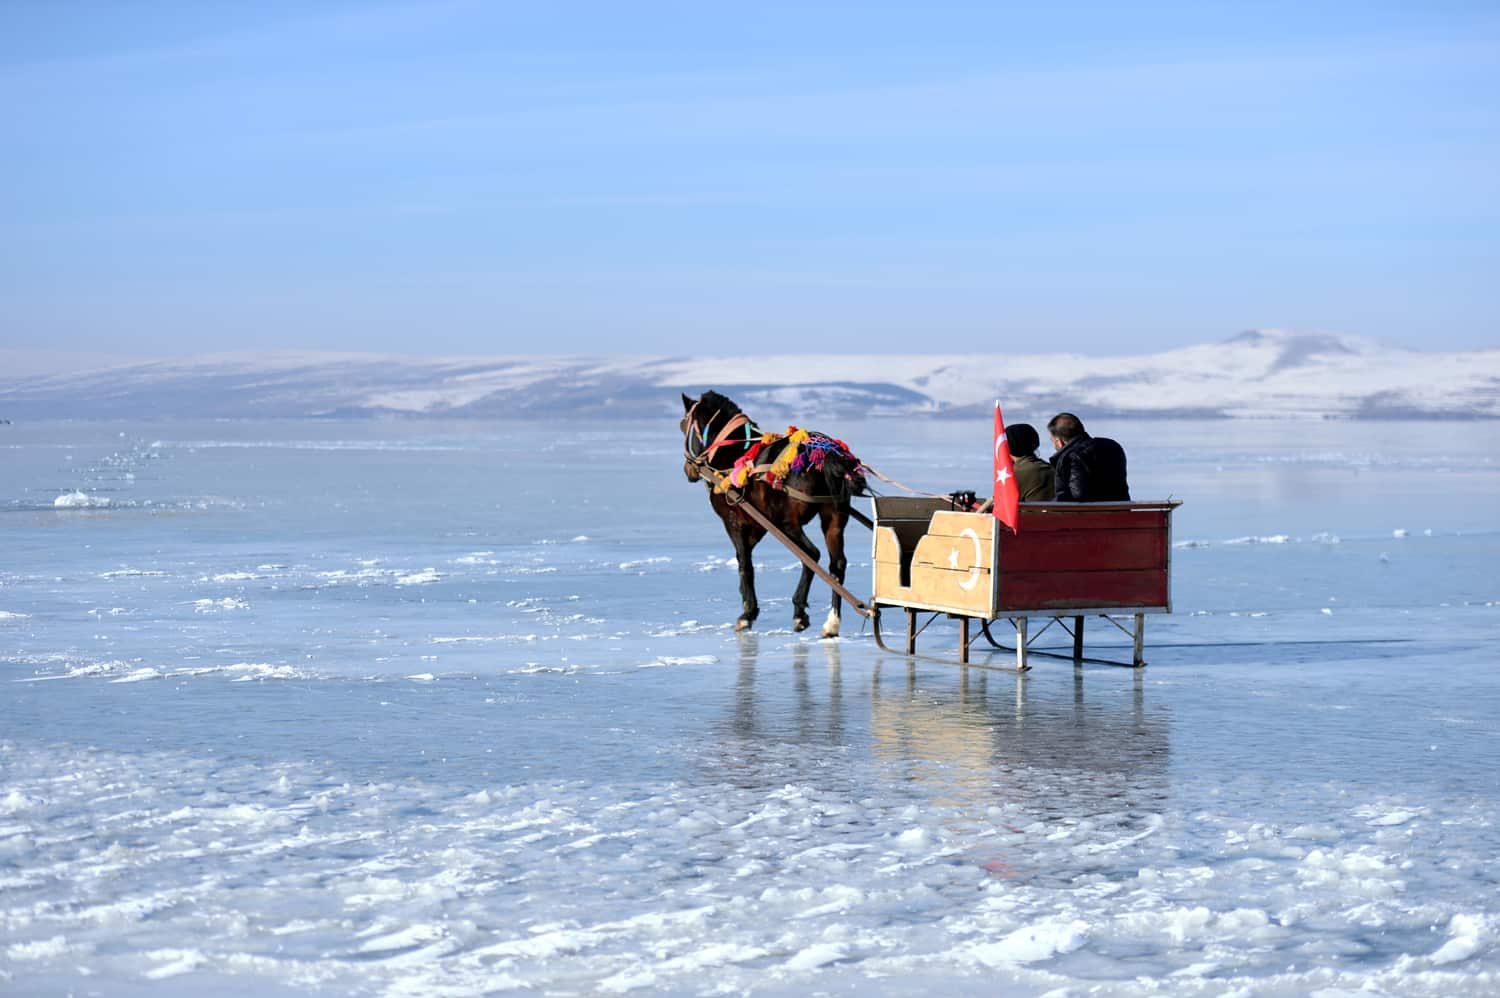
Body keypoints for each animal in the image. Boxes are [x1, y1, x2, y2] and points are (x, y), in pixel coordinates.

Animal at [684, 390, 870, 639]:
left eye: (684, 424)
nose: (688, 470)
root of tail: (827, 455)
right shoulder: (759, 524)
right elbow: (747, 560)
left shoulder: (734, 520)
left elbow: (744, 563)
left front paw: (747, 615)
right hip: (834, 516)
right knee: (837, 563)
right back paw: (831, 623)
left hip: (787, 523)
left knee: (811, 555)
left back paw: (800, 612)